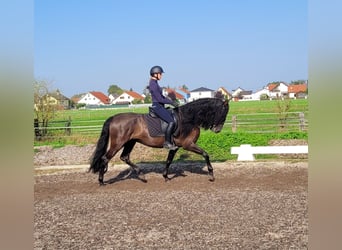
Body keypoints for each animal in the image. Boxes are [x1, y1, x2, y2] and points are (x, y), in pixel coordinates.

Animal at [89, 96, 230, 185]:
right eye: (223, 113)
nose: (218, 129)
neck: (188, 118)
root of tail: (113, 118)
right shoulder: (188, 144)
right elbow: (206, 154)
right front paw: (211, 175)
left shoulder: (176, 146)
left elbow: (168, 161)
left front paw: (165, 176)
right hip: (118, 143)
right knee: (105, 158)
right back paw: (101, 181)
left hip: (130, 142)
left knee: (125, 157)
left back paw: (142, 175)